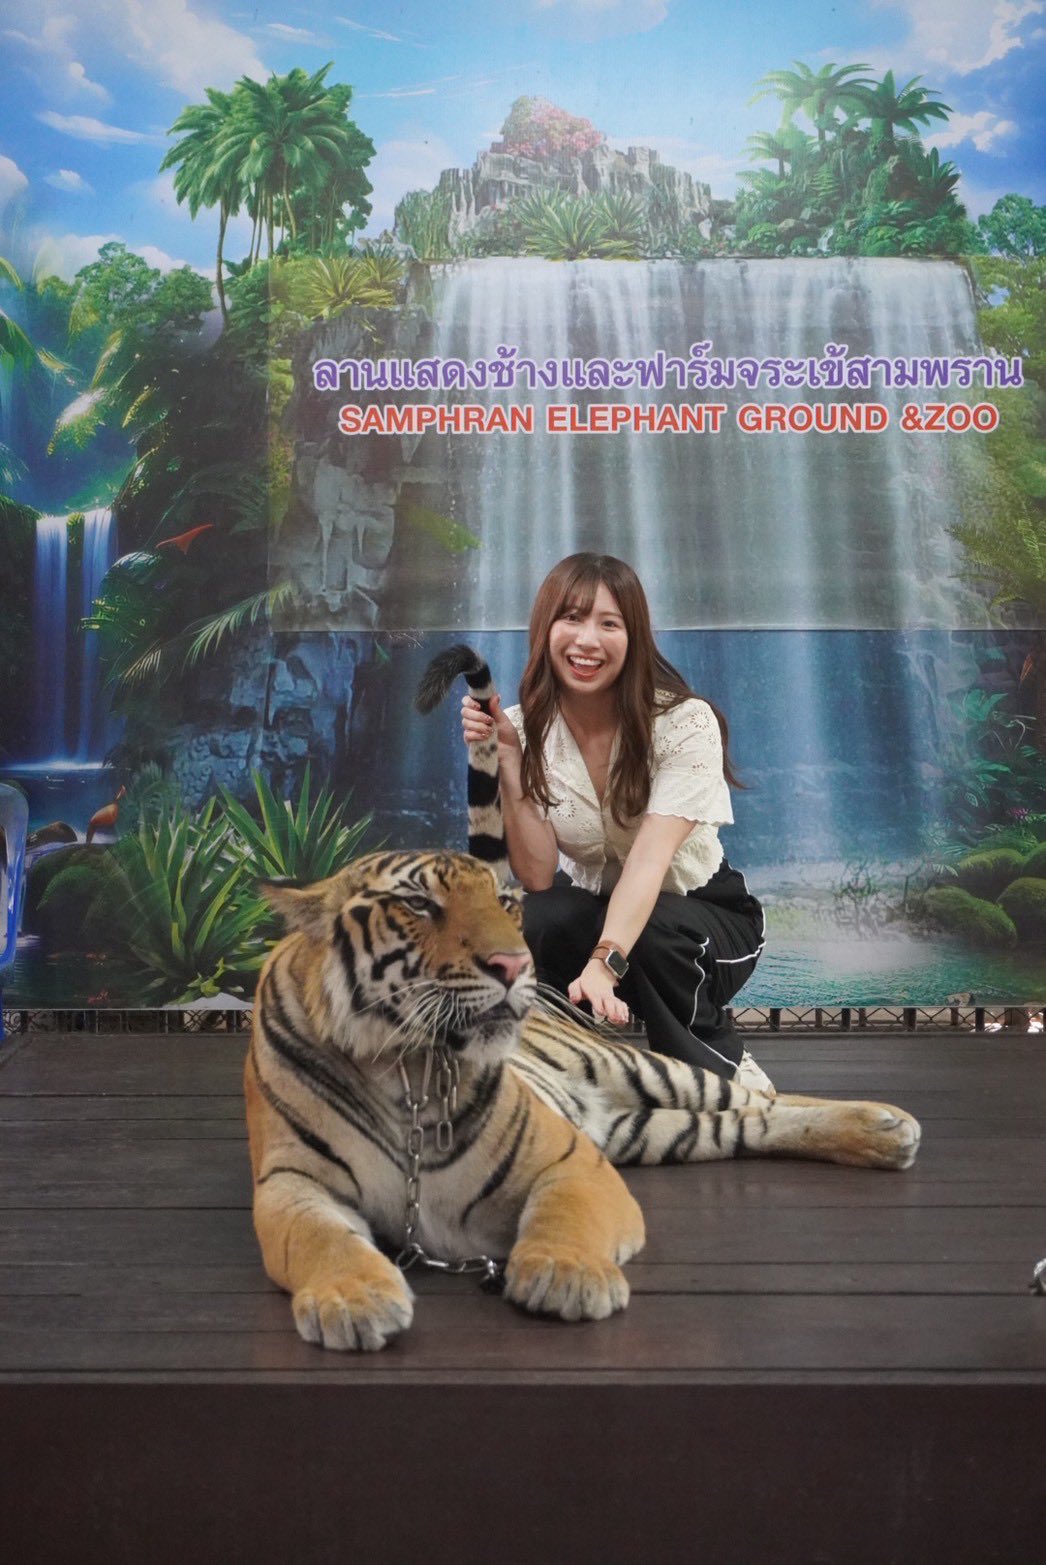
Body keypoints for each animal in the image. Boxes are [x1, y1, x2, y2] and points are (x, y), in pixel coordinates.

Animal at [246, 646, 921, 1352]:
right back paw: (880, 1136)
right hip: (645, 1129)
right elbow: (317, 1241)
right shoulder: (289, 1186)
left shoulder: (570, 1159)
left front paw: (566, 1275)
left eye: (503, 903)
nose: (513, 964)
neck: (408, 1065)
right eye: (419, 906)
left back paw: (885, 1122)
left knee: (757, 1095)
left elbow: (567, 1215)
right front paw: (353, 1298)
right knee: (746, 1123)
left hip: (646, 1071)